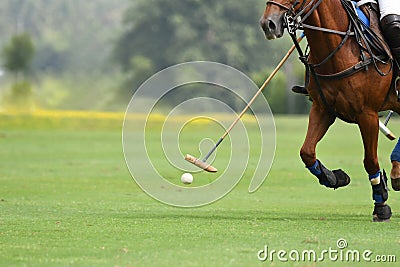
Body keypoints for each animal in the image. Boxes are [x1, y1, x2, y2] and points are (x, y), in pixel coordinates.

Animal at [260, 0, 400, 222]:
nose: (268, 24)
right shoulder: (322, 109)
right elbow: (307, 152)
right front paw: (335, 177)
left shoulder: (367, 113)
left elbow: (370, 160)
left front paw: (381, 205)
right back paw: (397, 172)